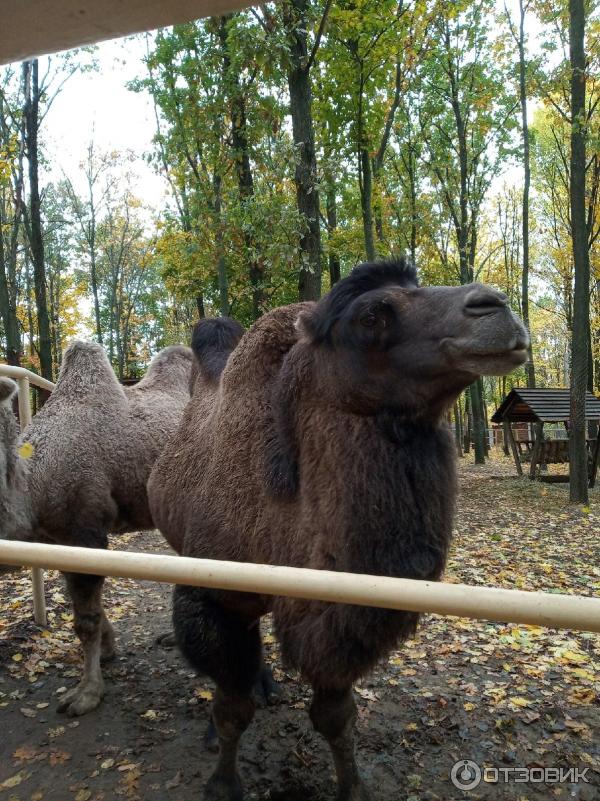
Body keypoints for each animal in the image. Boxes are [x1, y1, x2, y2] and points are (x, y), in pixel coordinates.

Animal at [148, 258, 528, 800]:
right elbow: (232, 708)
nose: (495, 308)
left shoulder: (337, 614)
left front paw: (352, 787)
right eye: (371, 316)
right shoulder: (209, 598)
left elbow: (335, 716)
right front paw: (222, 782)